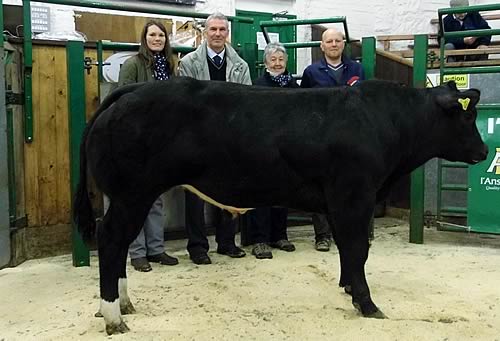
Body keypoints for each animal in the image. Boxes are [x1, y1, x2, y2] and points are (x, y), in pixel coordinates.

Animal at [74, 76, 488, 332]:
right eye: (467, 117)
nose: (484, 151)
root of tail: (132, 90)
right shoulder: (354, 195)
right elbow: (357, 249)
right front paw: (368, 304)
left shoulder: (340, 201)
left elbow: (348, 251)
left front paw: (349, 289)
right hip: (132, 194)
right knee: (111, 241)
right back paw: (113, 316)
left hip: (128, 196)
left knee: (118, 243)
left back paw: (123, 303)